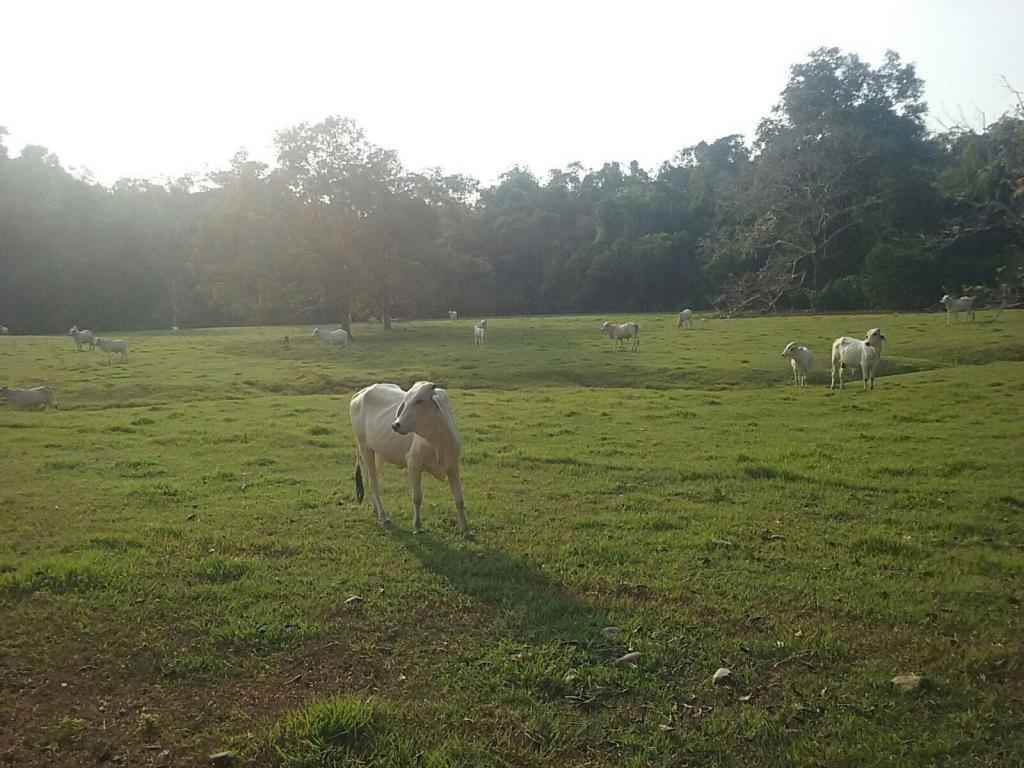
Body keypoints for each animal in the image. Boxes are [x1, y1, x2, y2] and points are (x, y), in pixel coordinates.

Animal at [346, 382, 468, 536]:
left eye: (420, 400)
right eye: (406, 401)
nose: (395, 425)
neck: (438, 439)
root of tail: (360, 393)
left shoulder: (453, 466)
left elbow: (459, 499)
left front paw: (466, 530)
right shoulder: (413, 464)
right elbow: (417, 497)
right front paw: (417, 526)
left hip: (377, 453)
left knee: (371, 479)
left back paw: (376, 510)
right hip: (364, 448)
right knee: (373, 482)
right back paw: (383, 516)